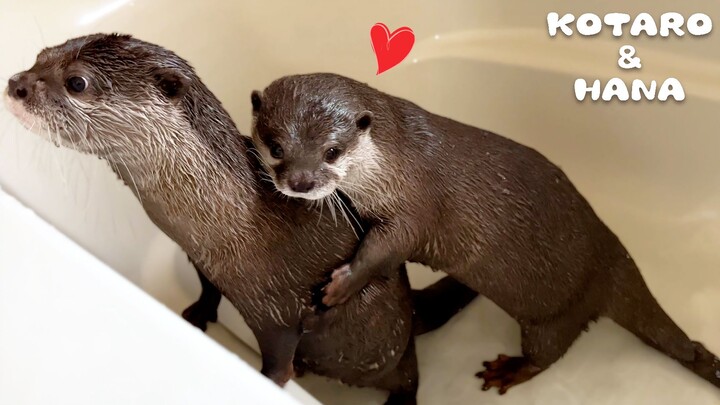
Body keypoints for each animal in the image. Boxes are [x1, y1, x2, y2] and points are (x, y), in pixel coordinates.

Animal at [3, 35, 478, 404]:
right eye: (41, 54)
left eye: (76, 82)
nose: (15, 84)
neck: (238, 223)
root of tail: (409, 308)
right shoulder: (200, 260)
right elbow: (208, 287)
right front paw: (198, 312)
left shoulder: (280, 311)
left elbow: (278, 361)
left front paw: (267, 382)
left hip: (388, 345)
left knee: (410, 378)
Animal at [250, 72, 720, 394]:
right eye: (275, 147)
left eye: (332, 151)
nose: (302, 182)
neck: (392, 162)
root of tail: (614, 257)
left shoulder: (416, 203)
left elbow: (388, 248)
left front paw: (342, 286)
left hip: (558, 312)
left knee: (548, 353)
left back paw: (509, 370)